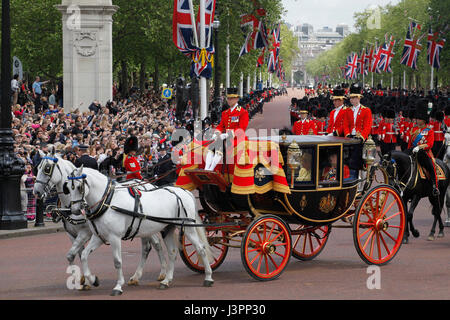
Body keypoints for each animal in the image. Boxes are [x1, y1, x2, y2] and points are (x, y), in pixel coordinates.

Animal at [33, 149, 167, 288]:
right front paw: (81, 280)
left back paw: (161, 273)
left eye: (47, 168)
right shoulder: (72, 234)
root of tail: (149, 185)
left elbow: (73, 254)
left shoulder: (85, 232)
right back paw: (139, 276)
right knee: (150, 246)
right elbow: (75, 254)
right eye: (37, 168)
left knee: (155, 245)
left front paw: (86, 280)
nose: (36, 192)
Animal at [66, 166, 215, 296]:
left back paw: (208, 277)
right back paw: (166, 281)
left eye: (79, 187)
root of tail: (185, 192)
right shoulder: (99, 237)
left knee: (201, 248)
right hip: (167, 229)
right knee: (172, 252)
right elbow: (84, 255)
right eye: (67, 188)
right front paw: (93, 280)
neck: (108, 202)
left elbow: (117, 261)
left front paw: (118, 286)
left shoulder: (114, 237)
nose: (75, 210)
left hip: (188, 227)